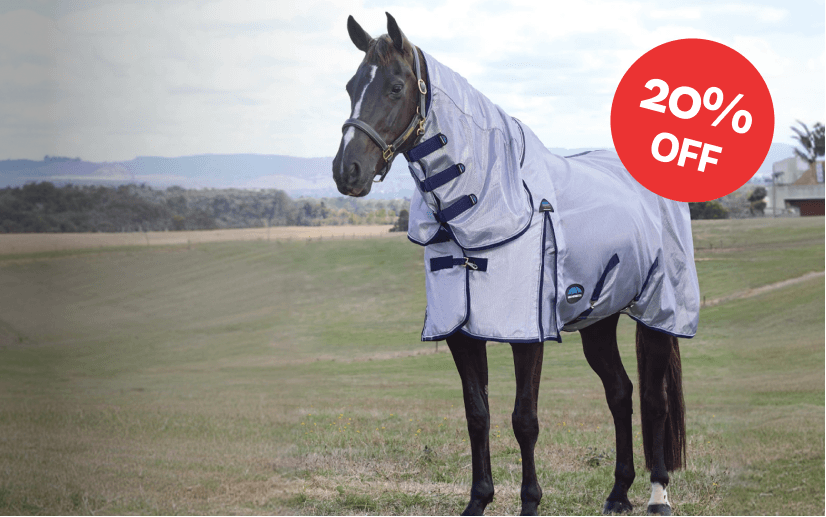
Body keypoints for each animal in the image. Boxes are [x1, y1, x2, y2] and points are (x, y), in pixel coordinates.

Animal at [332, 13, 698, 516]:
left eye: (394, 86)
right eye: (351, 86)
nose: (346, 171)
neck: (484, 204)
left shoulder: (527, 333)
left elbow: (524, 419)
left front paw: (529, 503)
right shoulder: (462, 332)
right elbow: (477, 414)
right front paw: (477, 501)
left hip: (660, 312)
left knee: (654, 400)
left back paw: (657, 495)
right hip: (598, 320)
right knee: (620, 394)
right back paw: (617, 492)